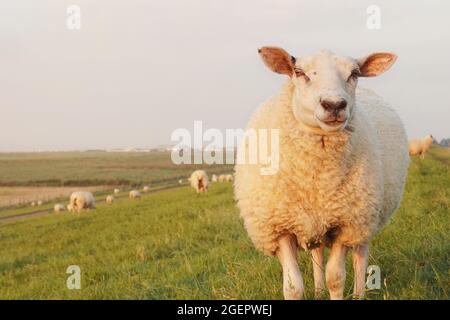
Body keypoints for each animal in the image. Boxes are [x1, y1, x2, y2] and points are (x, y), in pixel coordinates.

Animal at [236, 47, 412, 300]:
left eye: (354, 73)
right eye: (299, 72)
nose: (334, 104)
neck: (317, 181)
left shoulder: (345, 225)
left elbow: (336, 278)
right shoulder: (279, 228)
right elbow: (293, 287)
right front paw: (310, 289)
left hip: (365, 218)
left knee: (360, 256)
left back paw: (359, 294)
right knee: (317, 252)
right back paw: (318, 291)